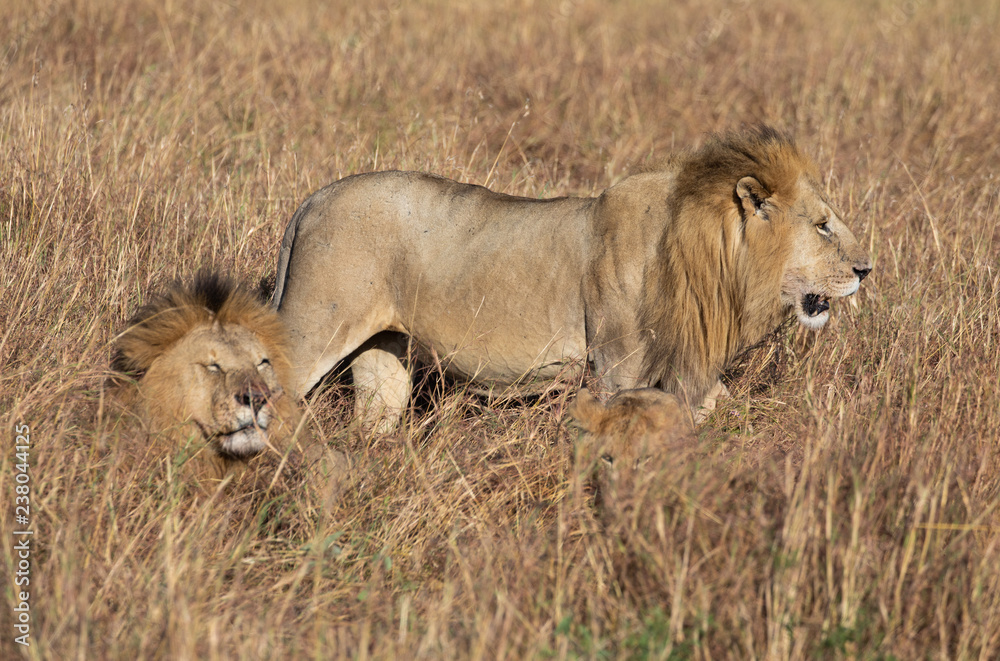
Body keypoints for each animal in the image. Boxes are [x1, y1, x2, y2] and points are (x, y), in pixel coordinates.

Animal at [272, 126, 872, 430]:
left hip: (383, 353)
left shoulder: (688, 370)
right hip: (312, 328)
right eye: (823, 226)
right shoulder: (620, 370)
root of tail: (313, 199)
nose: (866, 270)